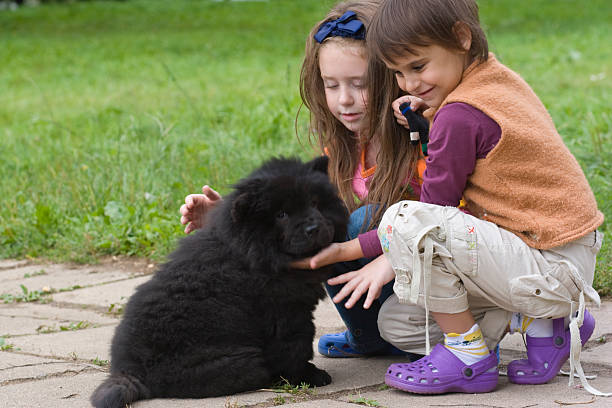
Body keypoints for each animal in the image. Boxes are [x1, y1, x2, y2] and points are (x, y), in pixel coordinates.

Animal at [91, 156, 350, 408]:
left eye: (315, 203)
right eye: (281, 215)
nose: (313, 227)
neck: (252, 252)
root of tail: (130, 372)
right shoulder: (285, 312)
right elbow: (296, 345)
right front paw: (311, 376)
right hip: (244, 363)